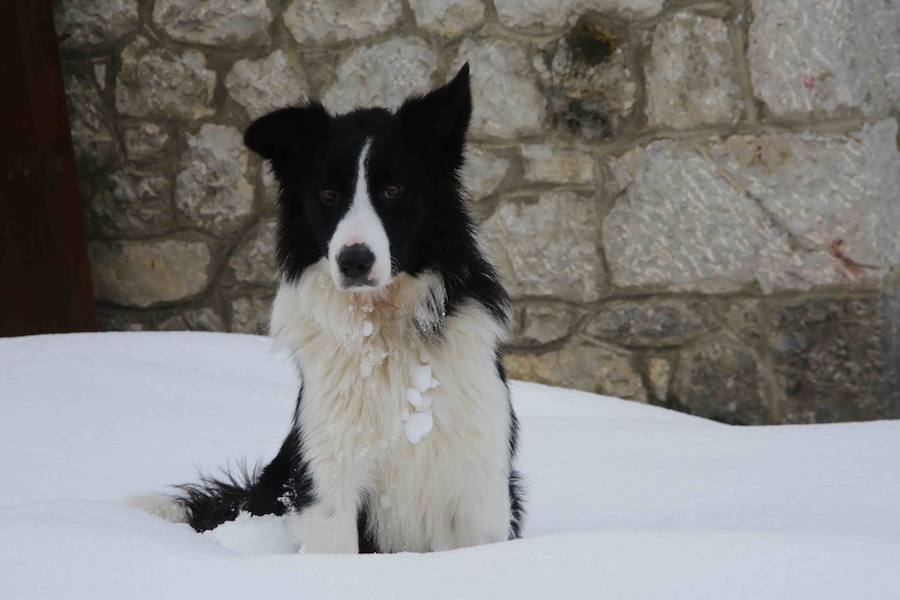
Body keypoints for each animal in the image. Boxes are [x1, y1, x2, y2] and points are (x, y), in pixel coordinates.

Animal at [141, 64, 520, 552]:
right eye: (327, 194)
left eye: (393, 189)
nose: (354, 260)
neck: (382, 329)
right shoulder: (327, 473)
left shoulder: (481, 479)